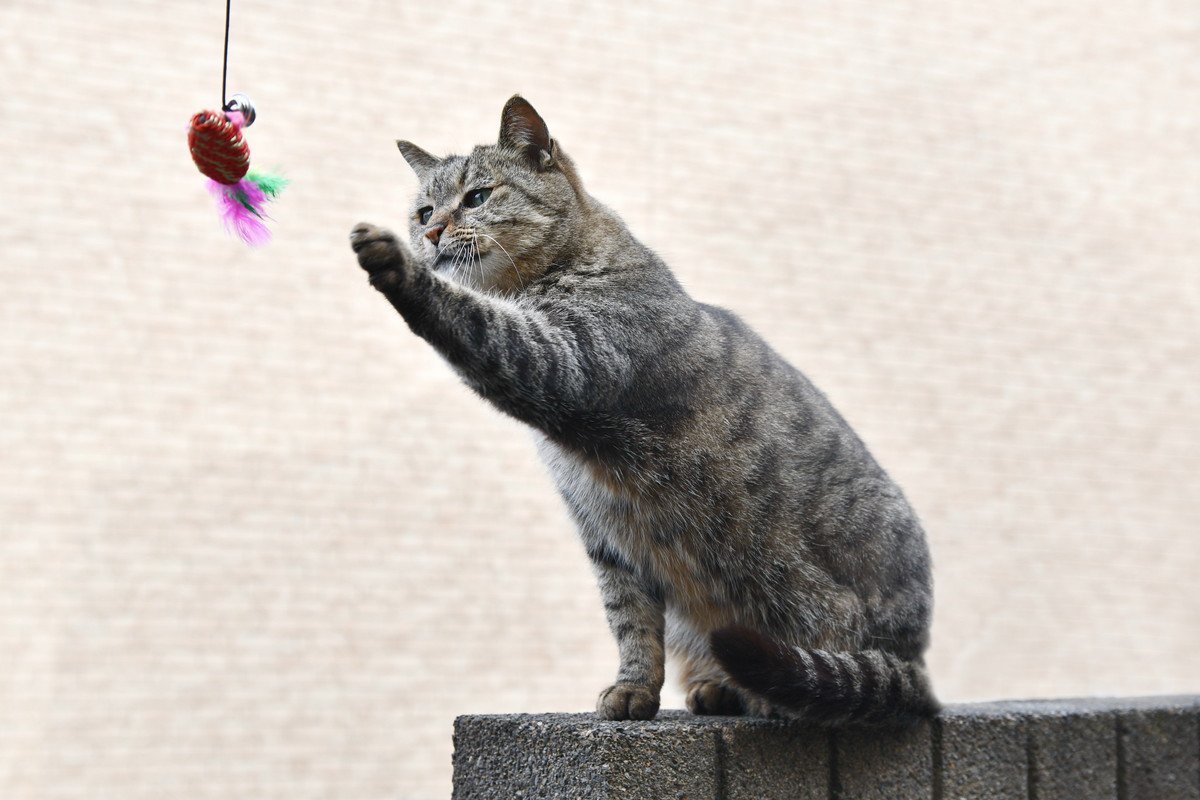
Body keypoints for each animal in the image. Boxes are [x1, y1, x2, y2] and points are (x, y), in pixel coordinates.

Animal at [350, 94, 940, 724]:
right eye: (423, 210)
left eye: (477, 197)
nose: (432, 231)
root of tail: (915, 666)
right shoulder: (608, 535)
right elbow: (631, 623)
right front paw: (633, 689)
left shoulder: (566, 364)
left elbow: (471, 320)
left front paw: (398, 269)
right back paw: (717, 687)